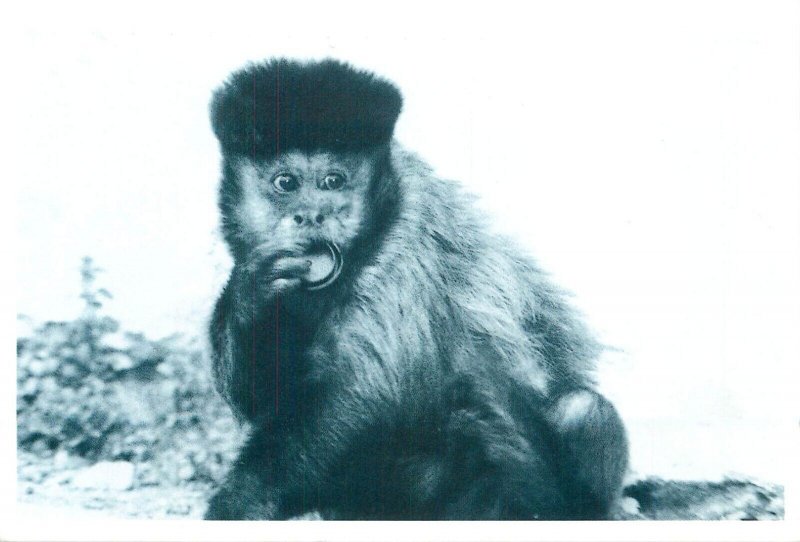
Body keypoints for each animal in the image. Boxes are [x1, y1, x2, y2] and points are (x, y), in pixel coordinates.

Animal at [203, 58, 628, 520]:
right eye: (286, 183)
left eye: (333, 181)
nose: (311, 215)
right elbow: (260, 397)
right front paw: (252, 295)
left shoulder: (403, 252)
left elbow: (362, 396)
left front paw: (243, 499)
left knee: (580, 412)